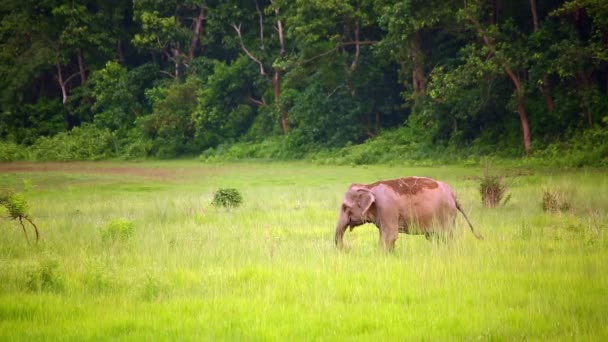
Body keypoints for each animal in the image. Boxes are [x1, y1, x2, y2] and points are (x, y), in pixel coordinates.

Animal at [334, 178, 482, 250]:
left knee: (446, 236)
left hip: (446, 214)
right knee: (435, 237)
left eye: (345, 207)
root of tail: (453, 194)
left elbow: (390, 236)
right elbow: (385, 235)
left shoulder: (387, 208)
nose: (348, 249)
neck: (369, 186)